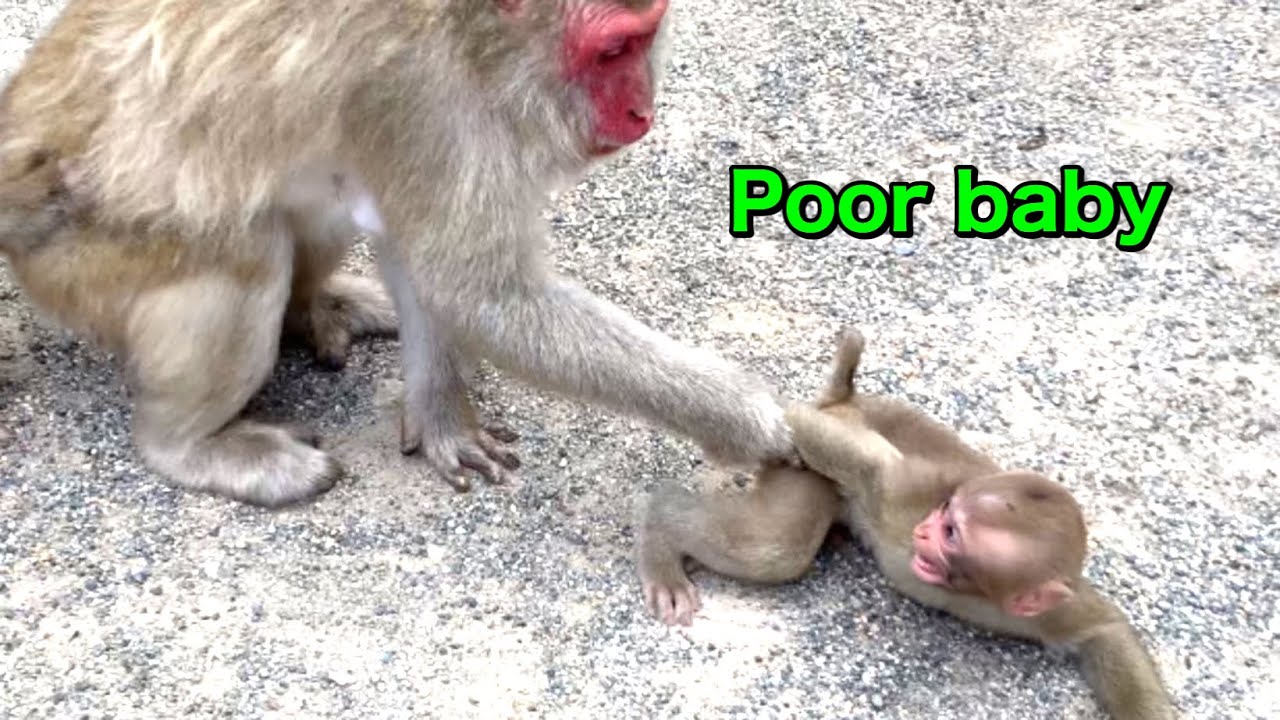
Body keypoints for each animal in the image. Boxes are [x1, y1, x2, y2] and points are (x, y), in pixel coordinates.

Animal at [636, 328, 1176, 720]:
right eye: (946, 516)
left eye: (952, 534)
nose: (924, 533)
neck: (965, 588)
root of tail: (846, 401)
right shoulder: (905, 495)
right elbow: (866, 460)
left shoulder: (1053, 606)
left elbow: (1105, 629)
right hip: (802, 467)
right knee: (776, 546)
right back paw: (661, 527)